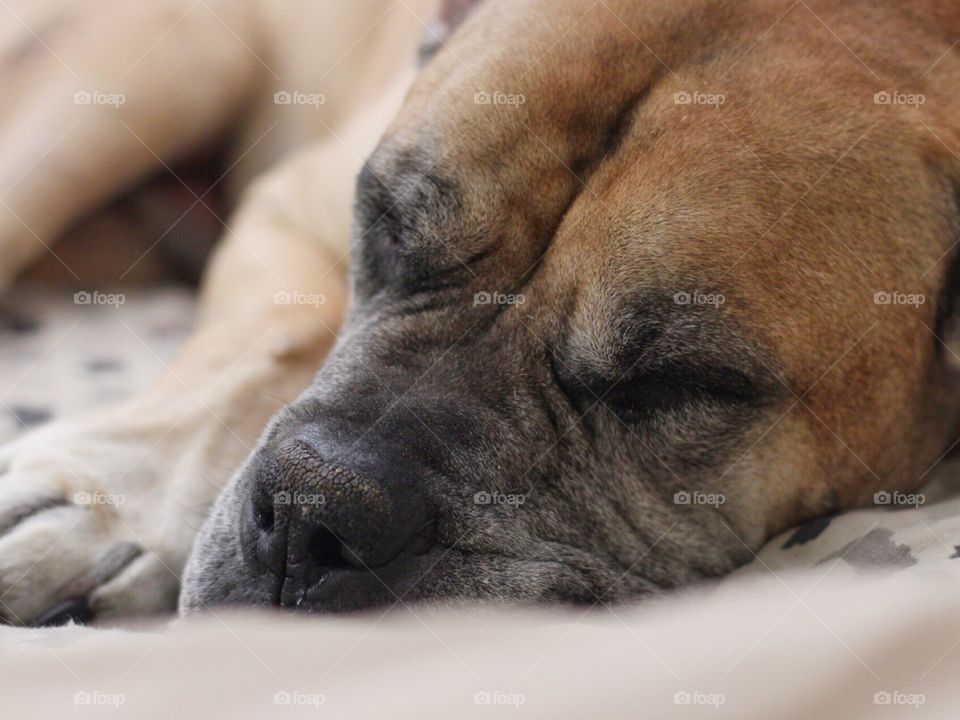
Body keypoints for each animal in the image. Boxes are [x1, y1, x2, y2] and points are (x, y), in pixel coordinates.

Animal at [1, 0, 960, 620]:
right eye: (386, 226)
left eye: (675, 384)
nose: (315, 515)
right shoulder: (286, 210)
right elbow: (278, 337)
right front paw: (103, 506)